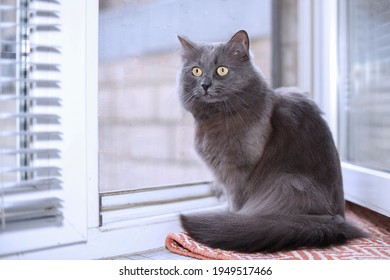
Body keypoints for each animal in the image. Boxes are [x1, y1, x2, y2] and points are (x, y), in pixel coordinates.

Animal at [177, 29, 366, 253]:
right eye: (196, 71)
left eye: (222, 70)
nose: (205, 85)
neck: (215, 117)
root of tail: (336, 218)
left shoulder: (237, 170)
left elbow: (236, 201)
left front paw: (233, 217)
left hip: (288, 182)